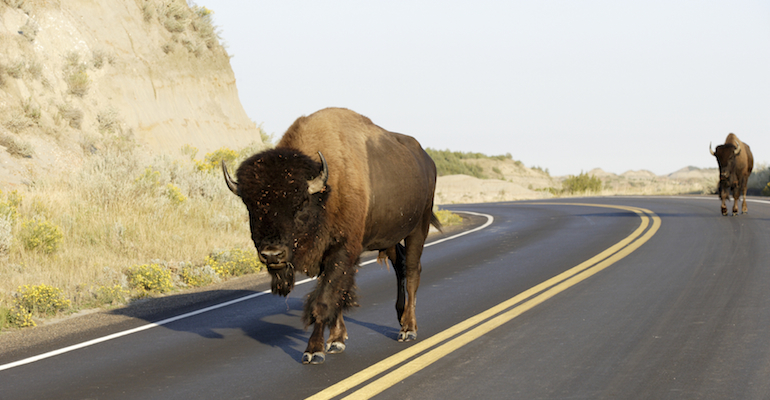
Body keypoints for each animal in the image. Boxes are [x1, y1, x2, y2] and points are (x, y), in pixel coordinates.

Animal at [220, 108, 438, 364]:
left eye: (300, 203)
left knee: (413, 271)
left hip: (418, 228)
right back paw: (400, 316)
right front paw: (336, 340)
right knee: (400, 266)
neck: (326, 192)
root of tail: (427, 161)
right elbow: (337, 296)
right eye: (251, 206)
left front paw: (314, 351)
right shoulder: (327, 256)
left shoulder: (341, 251)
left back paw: (408, 329)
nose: (272, 254)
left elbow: (324, 300)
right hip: (390, 237)